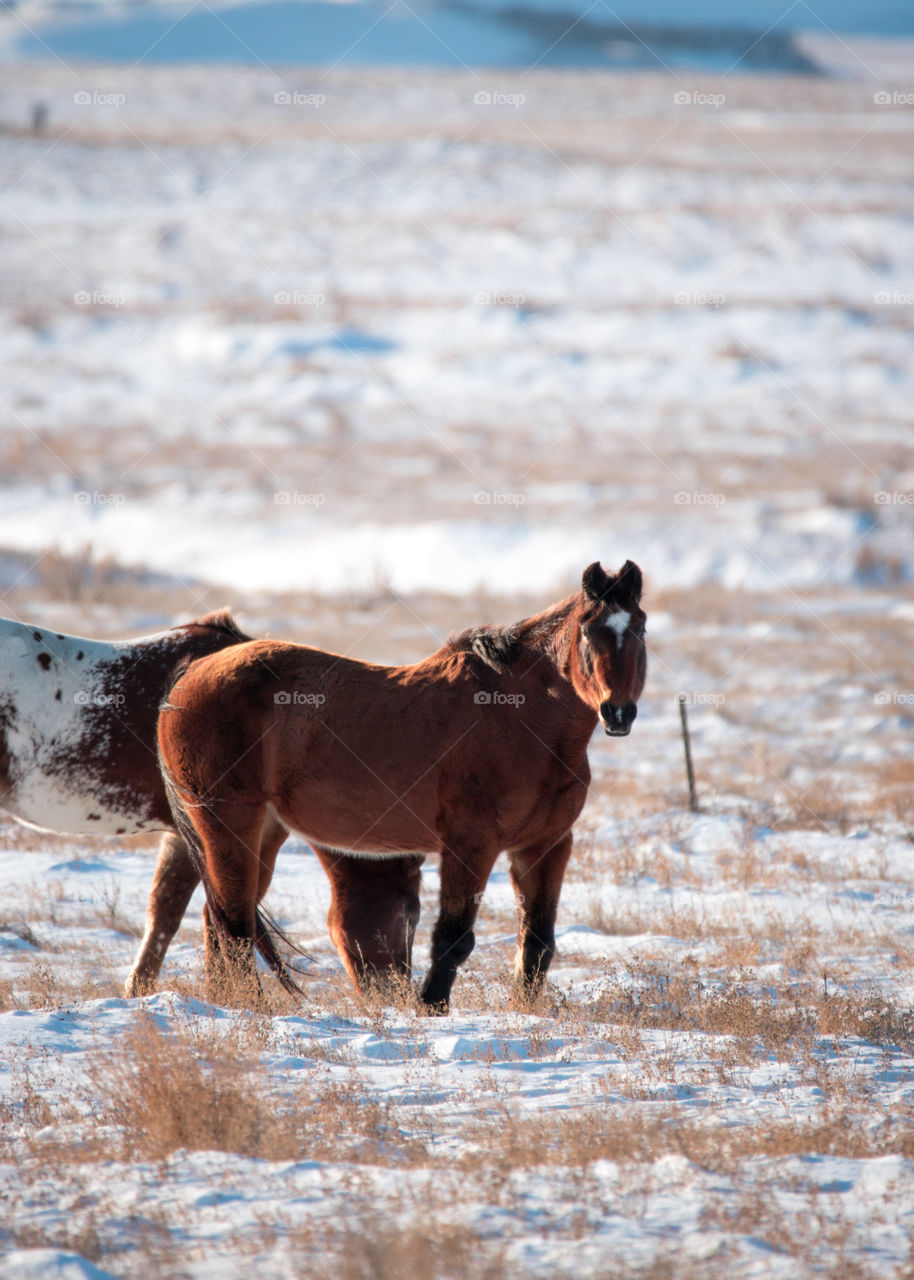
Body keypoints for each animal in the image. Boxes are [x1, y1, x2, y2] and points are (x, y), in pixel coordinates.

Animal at [158, 560, 640, 1008]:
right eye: (587, 631)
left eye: (639, 627)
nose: (618, 712)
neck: (520, 717)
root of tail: (189, 674)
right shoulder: (470, 846)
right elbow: (453, 939)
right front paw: (431, 1008)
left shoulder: (545, 847)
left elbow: (538, 944)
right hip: (225, 823)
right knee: (233, 925)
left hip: (263, 831)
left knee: (220, 920)